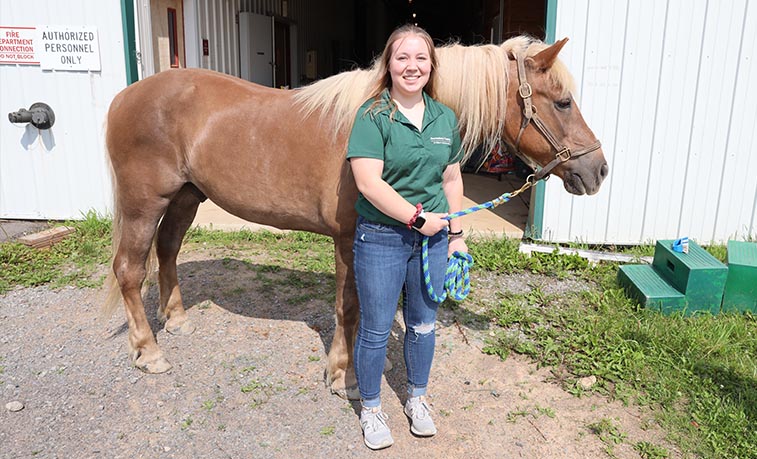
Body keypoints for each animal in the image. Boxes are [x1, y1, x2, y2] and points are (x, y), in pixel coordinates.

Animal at [102, 34, 608, 398]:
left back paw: (176, 319)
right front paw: (343, 374)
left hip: (187, 197)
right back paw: (148, 352)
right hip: (145, 202)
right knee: (130, 270)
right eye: (563, 101)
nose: (598, 170)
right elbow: (350, 306)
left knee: (167, 251)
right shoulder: (350, 239)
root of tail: (124, 97)